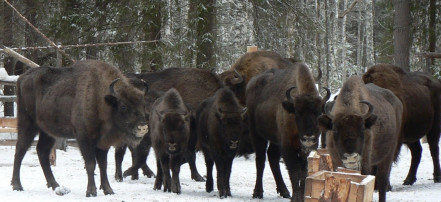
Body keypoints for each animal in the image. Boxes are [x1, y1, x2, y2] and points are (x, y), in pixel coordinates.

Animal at [11, 60, 149, 197]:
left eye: (143, 105)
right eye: (123, 106)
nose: (143, 127)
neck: (100, 97)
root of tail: (21, 78)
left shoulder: (102, 143)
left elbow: (103, 165)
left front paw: (108, 190)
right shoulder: (84, 138)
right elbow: (90, 163)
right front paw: (91, 192)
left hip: (48, 132)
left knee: (42, 151)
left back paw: (55, 185)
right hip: (27, 124)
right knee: (20, 149)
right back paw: (17, 185)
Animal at [246, 62, 328, 201]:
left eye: (318, 113)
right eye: (298, 112)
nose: (308, 137)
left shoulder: (306, 149)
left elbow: (304, 171)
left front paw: (300, 196)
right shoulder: (288, 145)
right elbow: (294, 171)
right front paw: (296, 197)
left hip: (275, 140)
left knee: (272, 157)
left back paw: (284, 191)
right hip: (256, 133)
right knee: (261, 159)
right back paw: (258, 192)